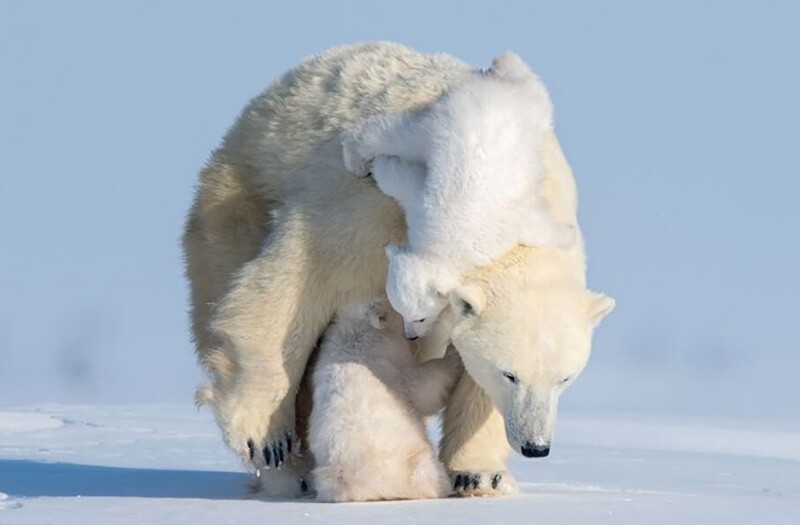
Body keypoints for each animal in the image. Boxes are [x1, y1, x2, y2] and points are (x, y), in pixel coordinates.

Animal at [342, 52, 576, 340]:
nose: (411, 336)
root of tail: (488, 92)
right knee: (397, 133)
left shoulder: (494, 230)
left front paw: (567, 235)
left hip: (504, 115)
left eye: (420, 317)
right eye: (401, 313)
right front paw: (379, 165)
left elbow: (533, 226)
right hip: (441, 123)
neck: (444, 242)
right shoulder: (423, 206)